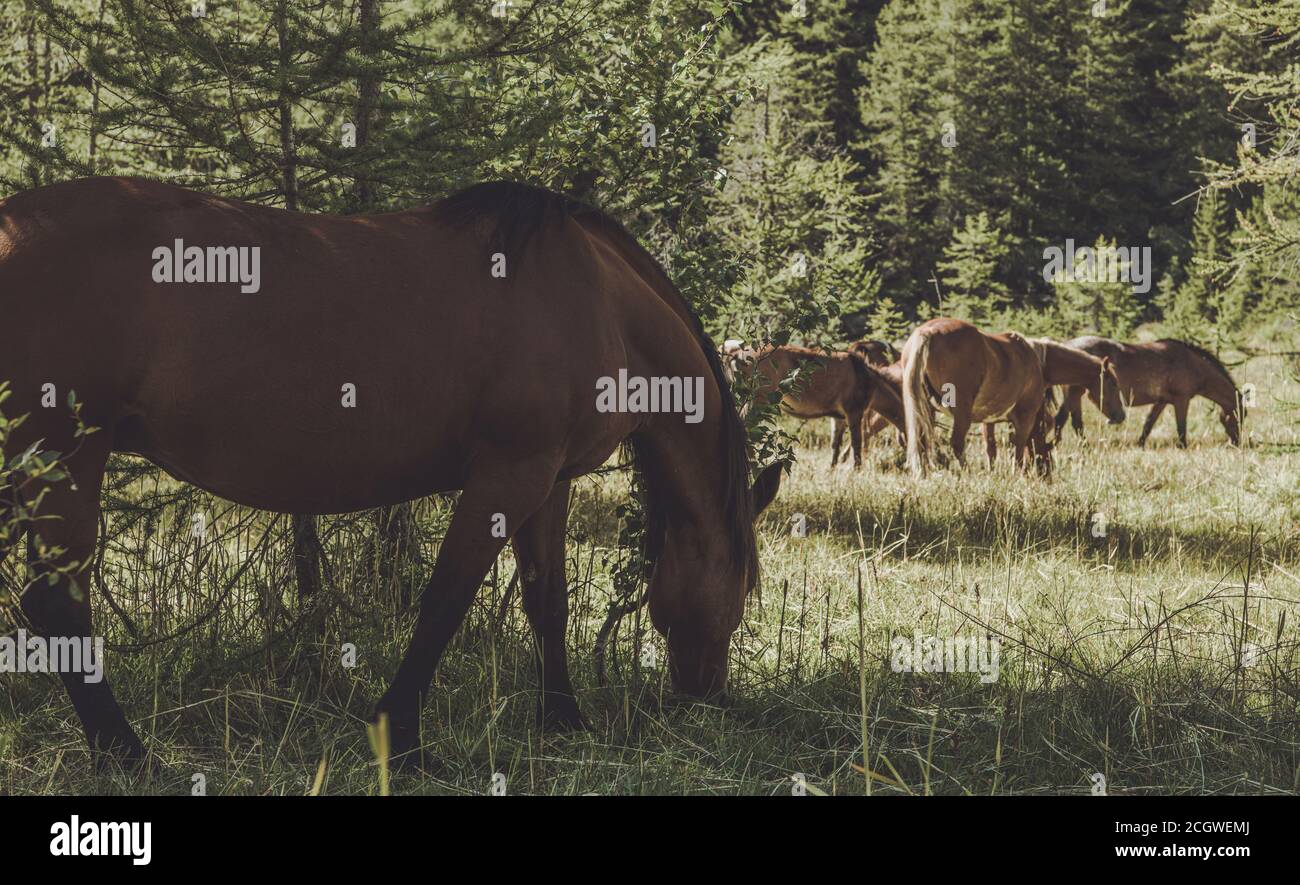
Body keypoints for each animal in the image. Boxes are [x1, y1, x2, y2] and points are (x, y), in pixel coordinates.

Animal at [0, 175, 780, 764]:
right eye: (743, 588)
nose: (706, 690)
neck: (599, 298)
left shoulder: (549, 482)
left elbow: (547, 601)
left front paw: (562, 719)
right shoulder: (509, 475)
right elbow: (445, 601)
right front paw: (400, 738)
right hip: (66, 455)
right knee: (58, 606)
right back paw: (129, 754)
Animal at [904, 314, 1055, 473]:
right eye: (1048, 450)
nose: (1048, 473)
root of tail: (928, 332)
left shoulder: (988, 420)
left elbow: (991, 448)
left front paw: (992, 471)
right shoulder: (1026, 417)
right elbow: (1018, 448)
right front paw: (1017, 473)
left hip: (925, 410)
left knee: (921, 441)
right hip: (962, 412)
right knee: (957, 443)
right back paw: (967, 471)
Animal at [1050, 337, 1242, 449]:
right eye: (1240, 416)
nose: (1237, 443)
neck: (1192, 364)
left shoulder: (1162, 401)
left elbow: (1149, 423)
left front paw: (1140, 443)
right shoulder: (1182, 400)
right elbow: (1181, 426)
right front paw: (1183, 446)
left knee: (1064, 419)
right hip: (1075, 393)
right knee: (1071, 421)